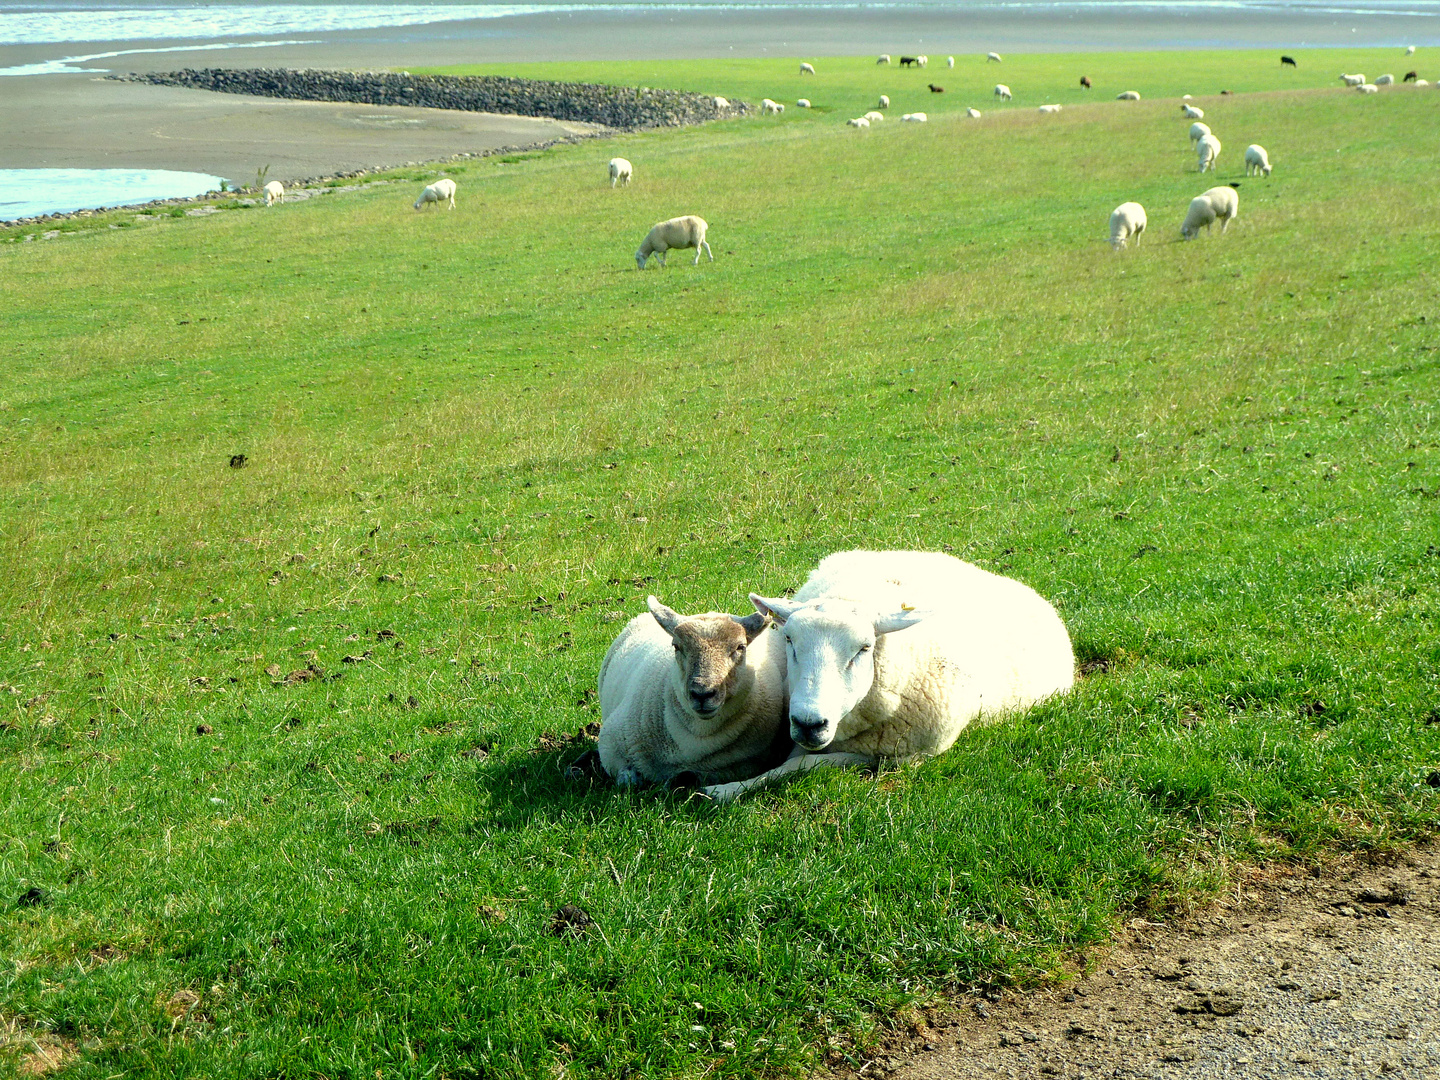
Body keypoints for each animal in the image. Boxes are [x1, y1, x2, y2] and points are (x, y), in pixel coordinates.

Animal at [596, 601, 789, 789]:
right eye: (676, 646)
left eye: (740, 647)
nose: (702, 693)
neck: (697, 737)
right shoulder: (609, 743)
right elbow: (625, 778)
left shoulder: (746, 765)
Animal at [702, 558, 1077, 806]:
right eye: (789, 640)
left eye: (864, 648)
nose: (809, 723)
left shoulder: (904, 758)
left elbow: (808, 763)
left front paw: (726, 789)